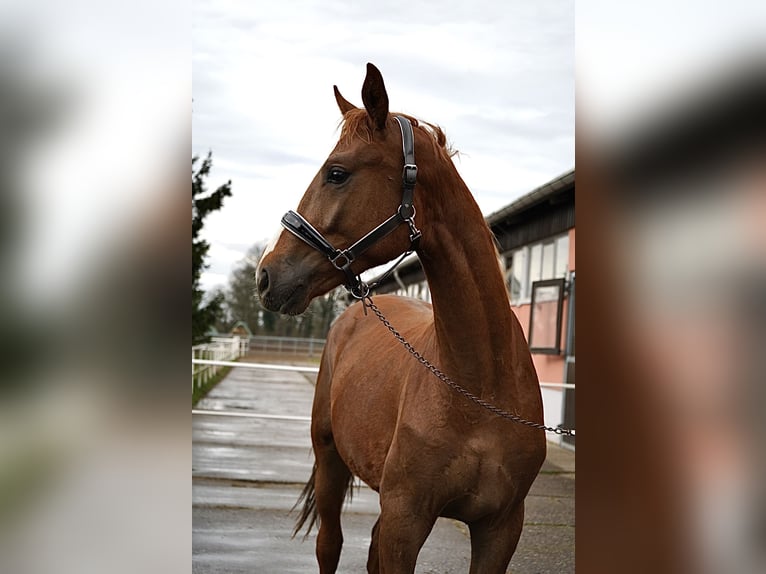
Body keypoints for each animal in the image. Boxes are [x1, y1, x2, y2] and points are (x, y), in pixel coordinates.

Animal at [258, 64, 544, 574]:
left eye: (336, 173)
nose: (266, 275)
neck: (480, 386)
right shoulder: (405, 519)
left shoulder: (500, 528)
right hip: (330, 461)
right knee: (329, 543)